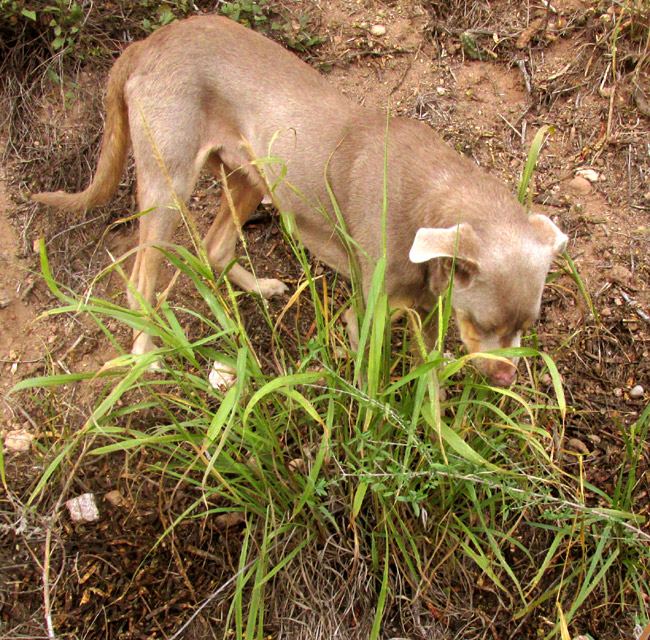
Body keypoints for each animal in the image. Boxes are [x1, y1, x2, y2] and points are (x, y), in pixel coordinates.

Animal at [33, 15, 564, 384]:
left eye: (529, 325)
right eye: (484, 320)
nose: (507, 378)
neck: (434, 195)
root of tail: (147, 42)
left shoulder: (428, 306)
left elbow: (428, 377)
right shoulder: (369, 309)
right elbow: (371, 379)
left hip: (248, 176)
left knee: (215, 247)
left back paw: (256, 291)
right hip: (169, 182)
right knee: (140, 282)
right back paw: (146, 355)